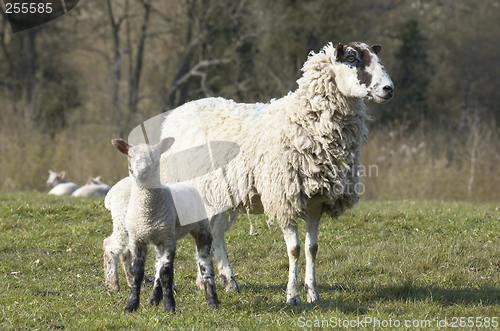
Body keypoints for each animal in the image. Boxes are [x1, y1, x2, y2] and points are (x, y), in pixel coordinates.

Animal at [102, 137, 219, 314]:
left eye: (155, 156)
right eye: (130, 156)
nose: (142, 173)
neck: (147, 212)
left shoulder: (167, 237)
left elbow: (166, 273)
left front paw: (169, 305)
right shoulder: (138, 238)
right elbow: (139, 273)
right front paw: (131, 306)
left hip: (200, 228)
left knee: (204, 262)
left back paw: (212, 301)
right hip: (130, 226)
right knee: (115, 247)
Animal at [160, 42, 394, 306]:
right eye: (352, 58)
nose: (389, 89)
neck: (305, 122)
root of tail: (179, 111)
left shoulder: (316, 200)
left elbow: (312, 248)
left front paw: (313, 293)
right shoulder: (284, 197)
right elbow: (294, 249)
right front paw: (293, 295)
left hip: (220, 197)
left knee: (214, 234)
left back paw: (224, 281)